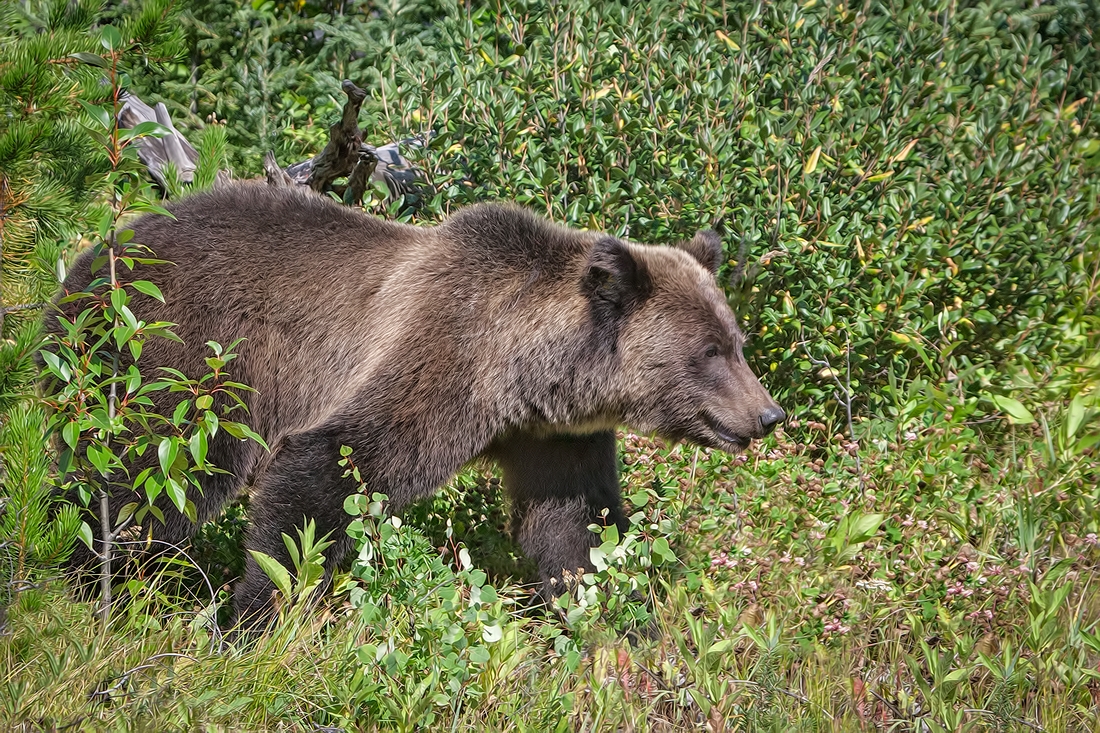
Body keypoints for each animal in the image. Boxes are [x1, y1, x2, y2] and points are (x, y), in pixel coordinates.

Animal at [49, 183, 783, 620]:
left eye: (737, 341)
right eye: (709, 352)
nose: (768, 414)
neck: (527, 374)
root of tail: (84, 266)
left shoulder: (556, 438)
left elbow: (575, 526)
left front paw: (615, 626)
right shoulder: (443, 357)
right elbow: (328, 466)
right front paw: (254, 614)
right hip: (183, 358)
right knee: (154, 475)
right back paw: (87, 578)